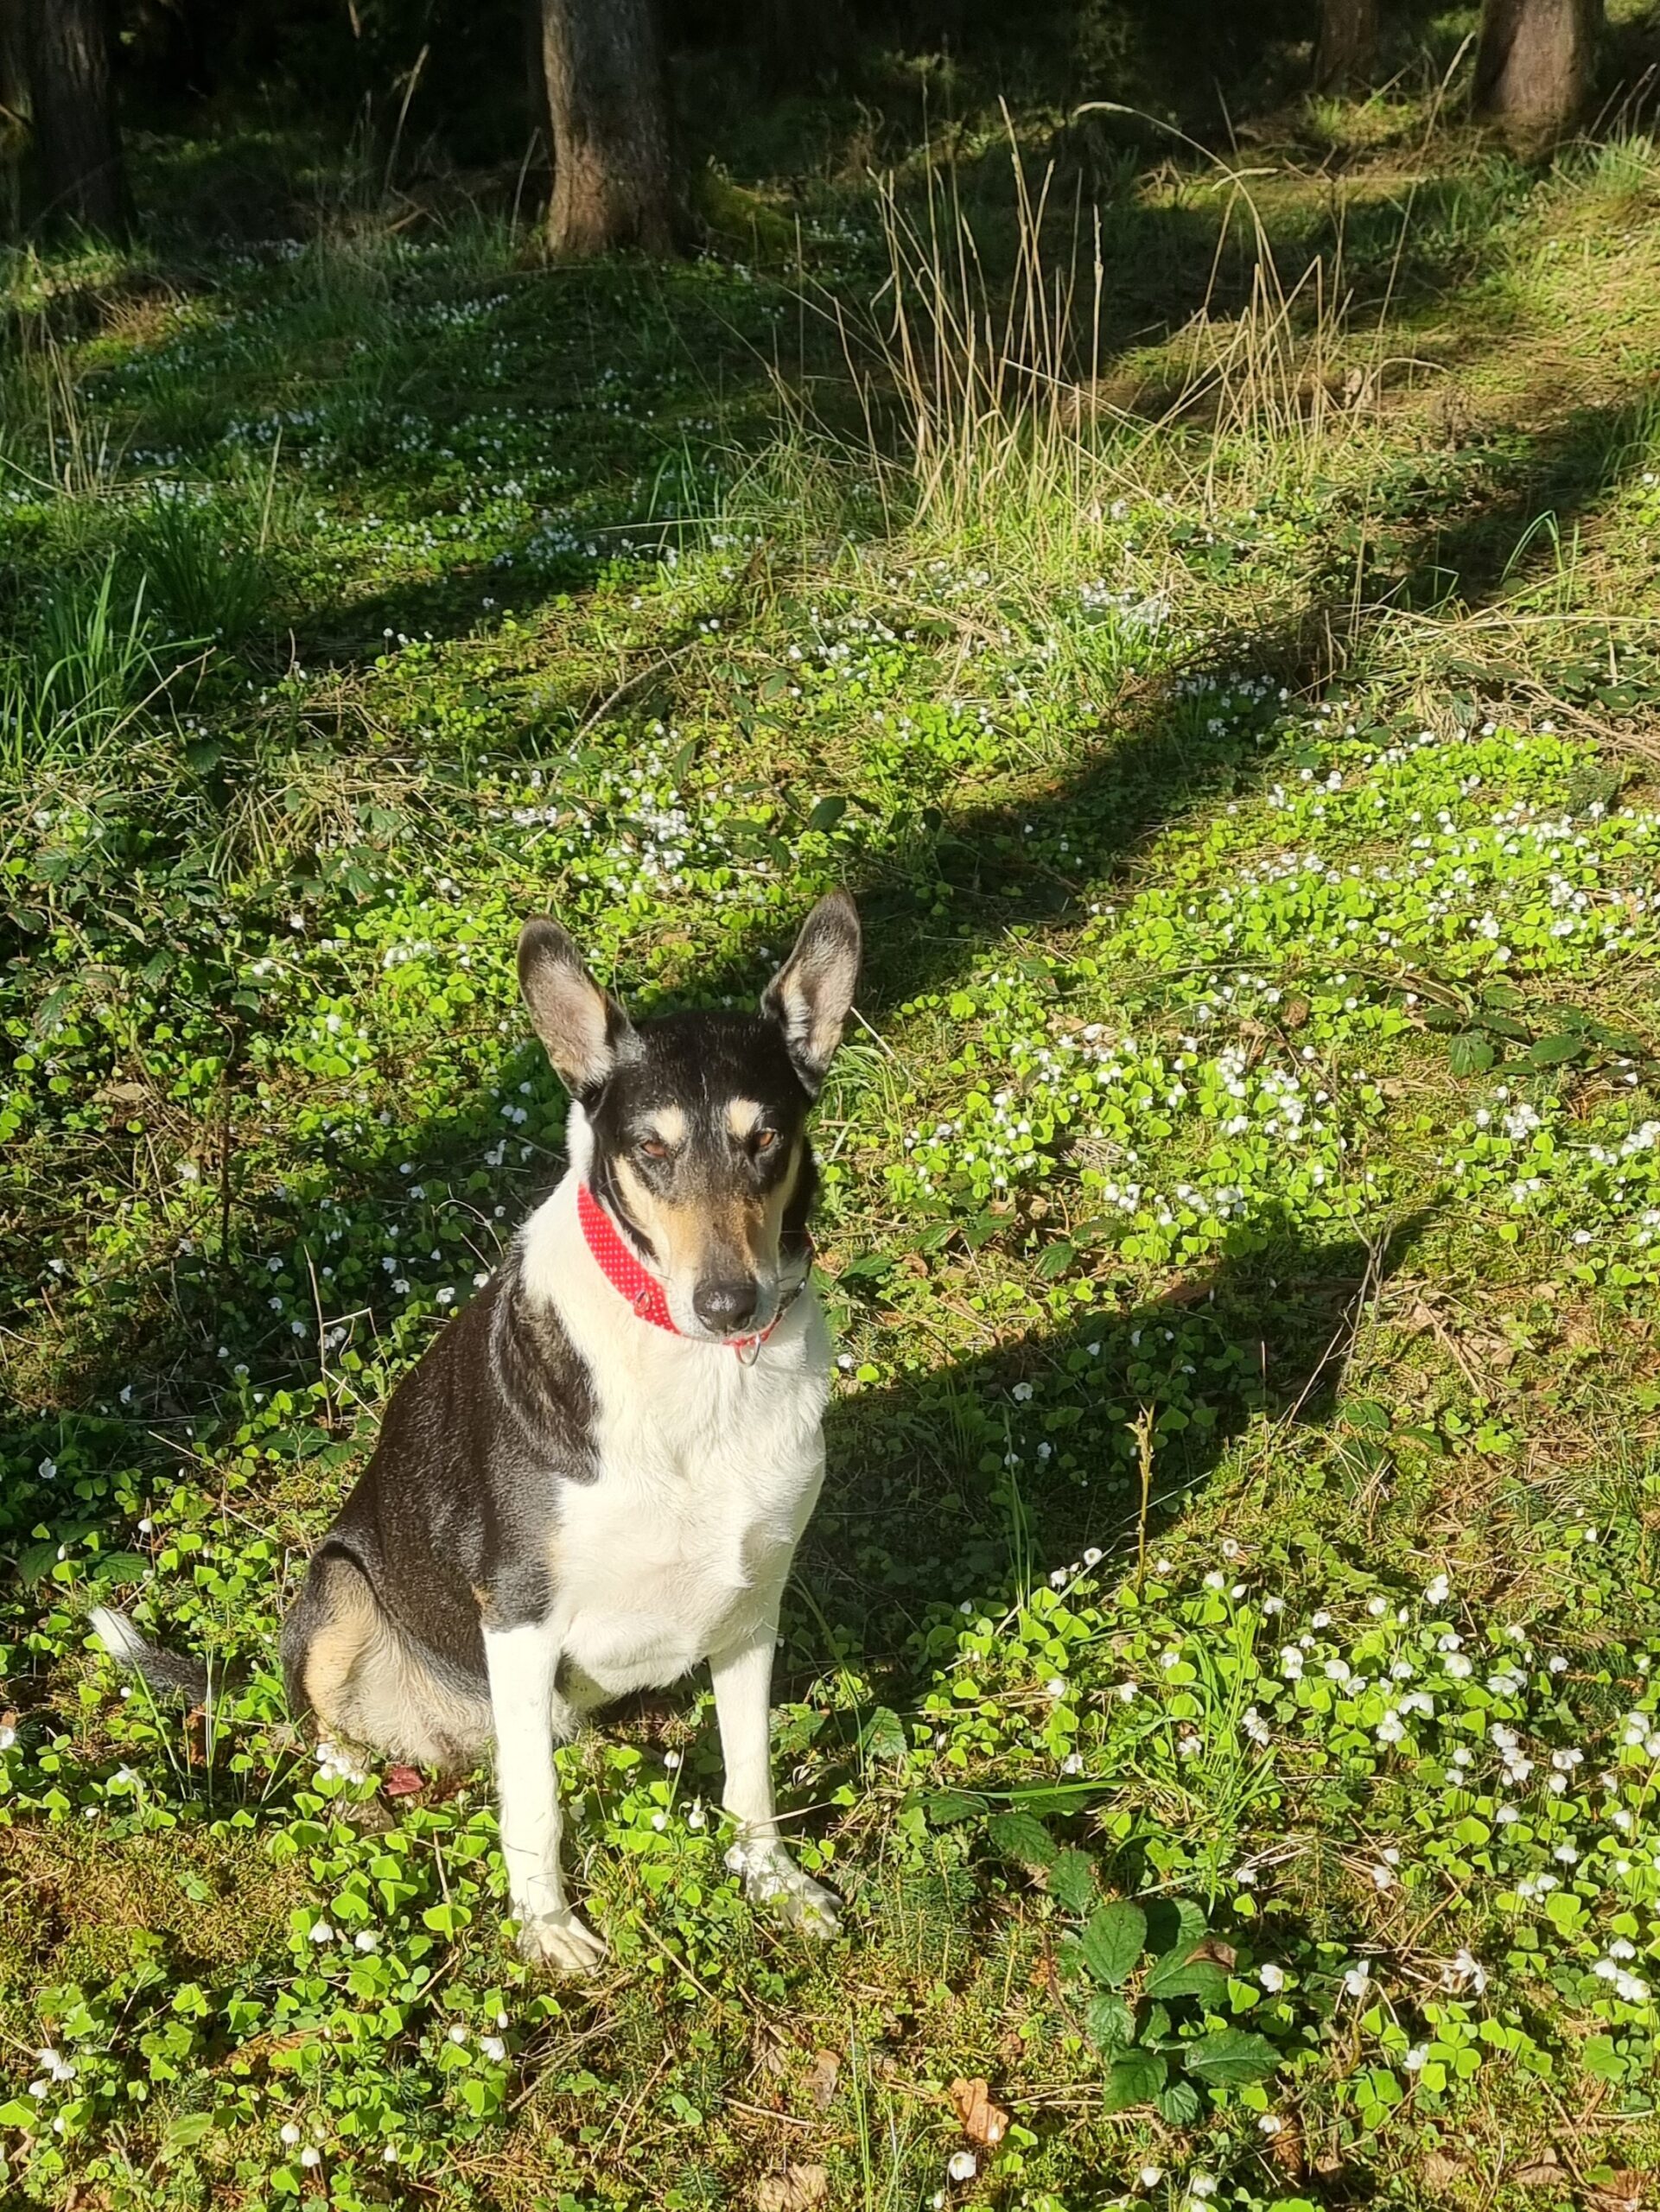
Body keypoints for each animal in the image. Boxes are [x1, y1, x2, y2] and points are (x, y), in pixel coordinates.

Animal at [97, 889, 862, 1981]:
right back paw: (361, 1774)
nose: (727, 1303)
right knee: (328, 1734)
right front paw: (548, 1930)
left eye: (766, 1138)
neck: (695, 1377)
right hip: (344, 1589)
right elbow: (534, 1809)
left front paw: (775, 1884)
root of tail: (443, 1733)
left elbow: (750, 1774)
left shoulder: (752, 1605)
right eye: (651, 1148)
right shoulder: (519, 1610)